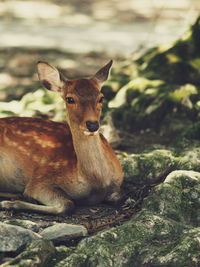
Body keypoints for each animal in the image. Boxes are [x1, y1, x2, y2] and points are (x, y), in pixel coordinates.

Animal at [0, 60, 123, 216]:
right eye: (70, 99)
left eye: (101, 97)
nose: (92, 124)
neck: (96, 182)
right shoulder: (41, 179)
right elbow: (67, 204)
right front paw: (10, 204)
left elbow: (118, 197)